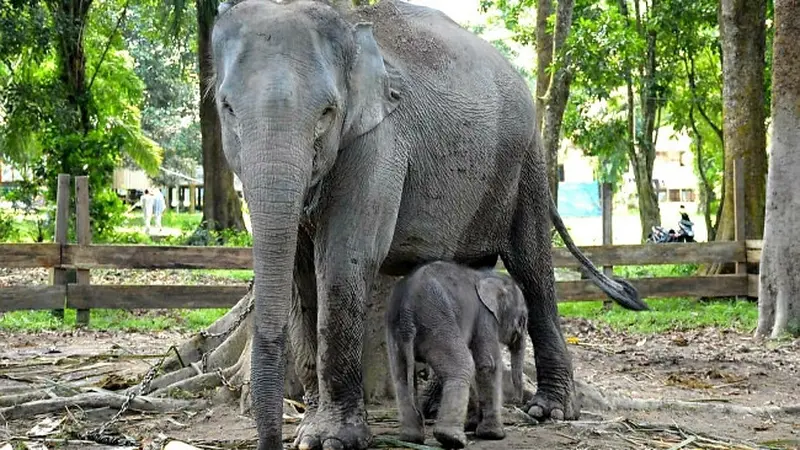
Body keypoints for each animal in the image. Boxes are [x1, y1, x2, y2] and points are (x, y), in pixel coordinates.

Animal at [386, 258, 528, 448]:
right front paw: (495, 435)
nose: (517, 401)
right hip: (437, 320)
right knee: (463, 366)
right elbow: (487, 365)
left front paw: (473, 425)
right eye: (523, 320)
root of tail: (407, 310)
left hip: (396, 329)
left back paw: (411, 438)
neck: (486, 275)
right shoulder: (485, 317)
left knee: (400, 377)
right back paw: (452, 439)